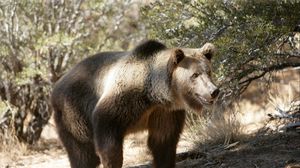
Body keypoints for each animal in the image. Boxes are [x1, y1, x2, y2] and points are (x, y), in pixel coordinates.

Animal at [51, 40, 219, 168]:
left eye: (208, 71)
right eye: (195, 75)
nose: (214, 91)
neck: (154, 95)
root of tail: (57, 85)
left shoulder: (164, 112)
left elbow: (163, 142)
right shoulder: (123, 101)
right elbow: (108, 142)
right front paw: (113, 161)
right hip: (74, 112)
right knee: (83, 153)